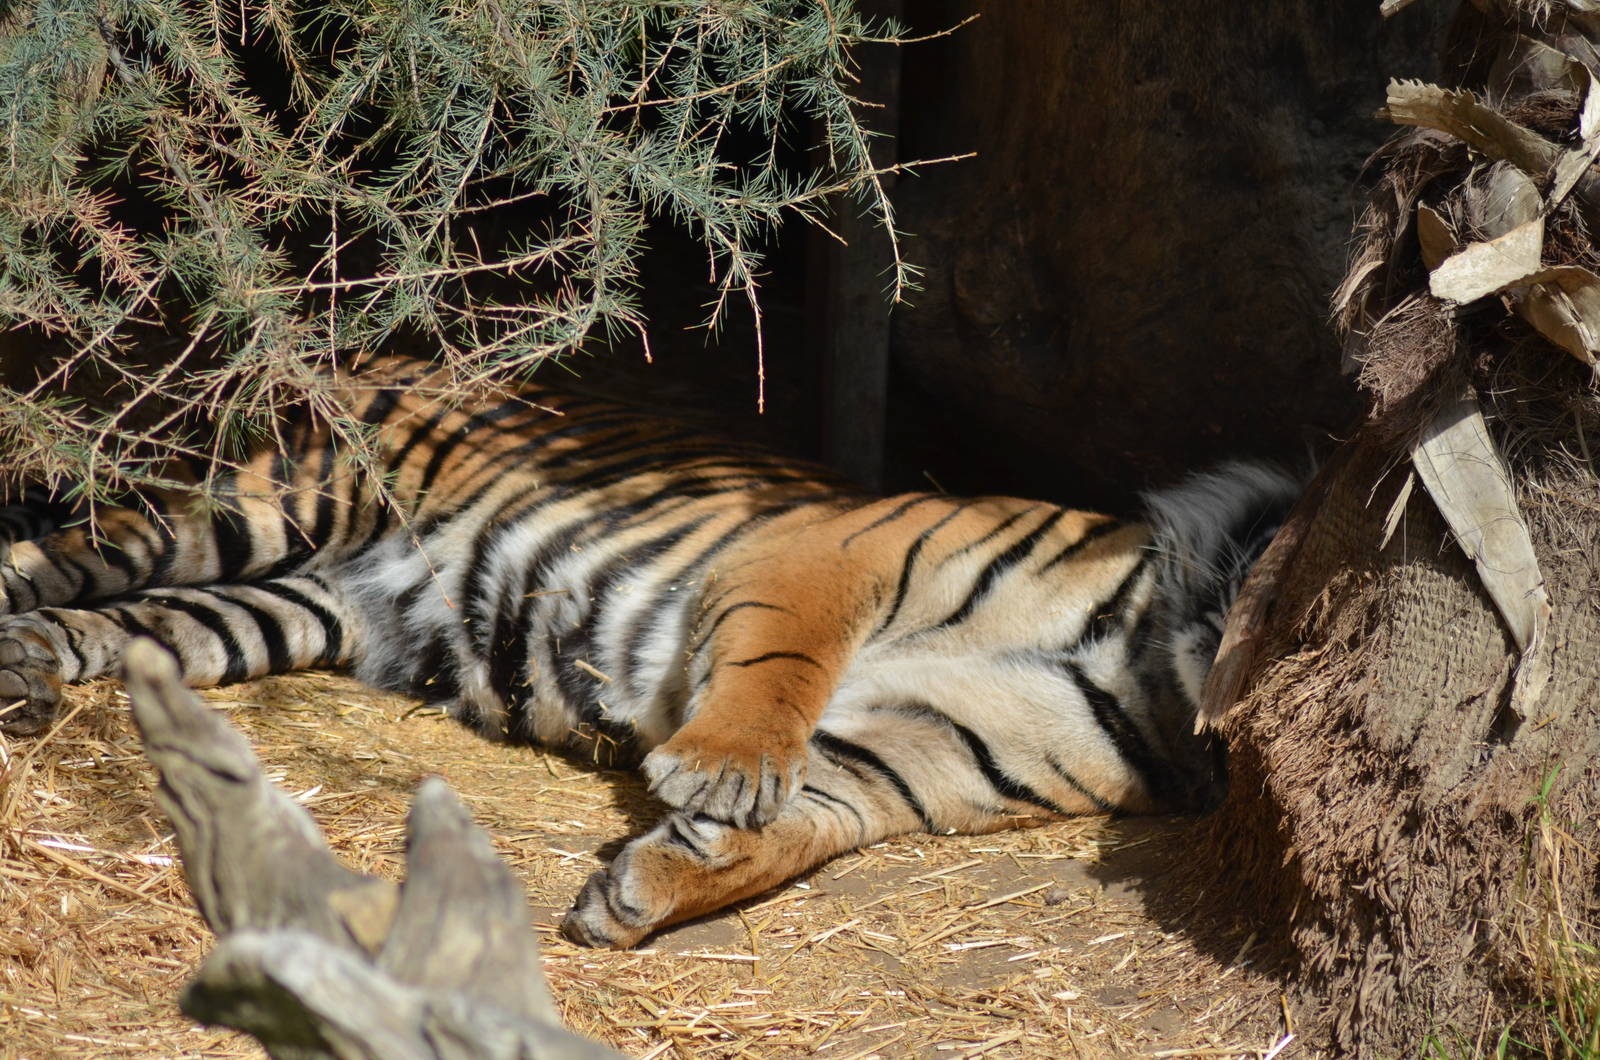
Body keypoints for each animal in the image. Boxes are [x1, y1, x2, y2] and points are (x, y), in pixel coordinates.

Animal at [0, 355, 1297, 948]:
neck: (1138, 658)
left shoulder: (919, 750)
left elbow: (802, 827)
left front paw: (650, 887)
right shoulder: (832, 547)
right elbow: (781, 673)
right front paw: (720, 769)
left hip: (291, 605)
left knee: (139, 623)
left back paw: (26, 664)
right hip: (276, 502)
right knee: (74, 544)